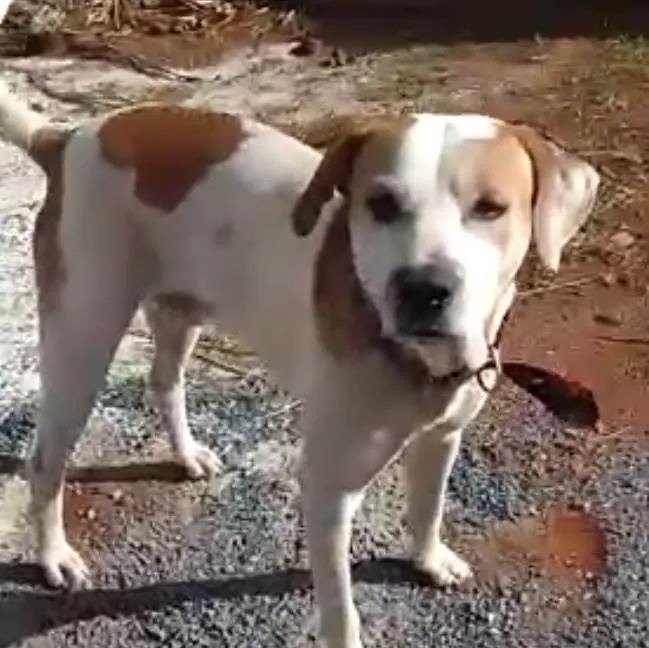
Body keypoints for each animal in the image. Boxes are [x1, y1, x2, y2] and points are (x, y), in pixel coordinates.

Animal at [0, 81, 596, 648]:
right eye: (381, 204)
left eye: (490, 208)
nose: (422, 289)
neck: (402, 349)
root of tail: (69, 138)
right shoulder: (329, 490)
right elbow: (340, 608)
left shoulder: (442, 438)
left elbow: (428, 506)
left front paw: (428, 559)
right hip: (82, 341)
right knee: (45, 460)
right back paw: (54, 555)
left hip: (178, 311)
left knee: (163, 383)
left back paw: (187, 454)